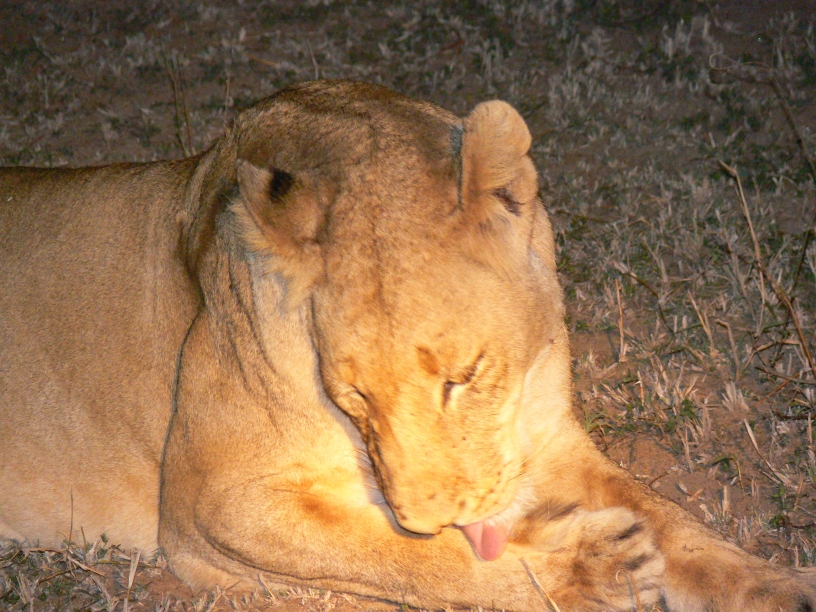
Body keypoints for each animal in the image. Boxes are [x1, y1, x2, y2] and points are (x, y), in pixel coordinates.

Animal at [1, 80, 814, 612]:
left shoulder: (546, 440)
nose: (429, 513)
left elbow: (674, 521)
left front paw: (777, 586)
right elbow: (408, 559)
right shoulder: (209, 503)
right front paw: (592, 572)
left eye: (466, 375)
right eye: (353, 398)